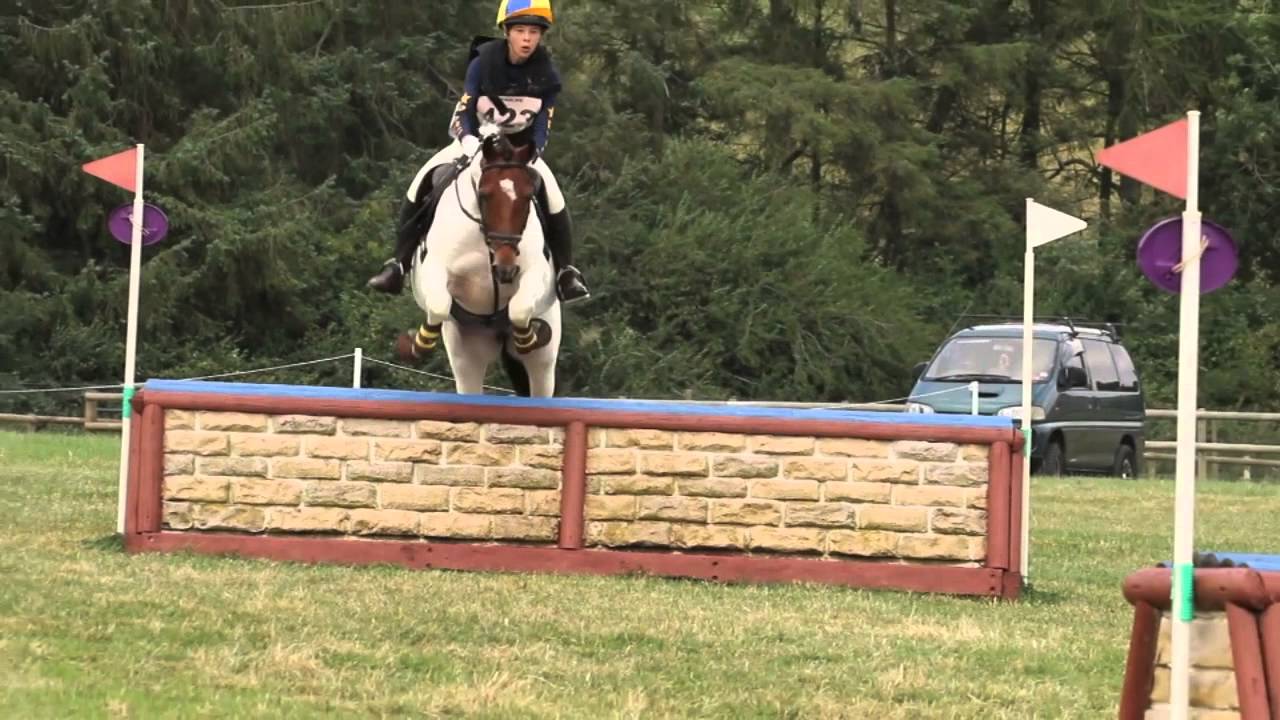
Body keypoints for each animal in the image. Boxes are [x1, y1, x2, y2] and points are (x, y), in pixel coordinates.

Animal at [394, 129, 561, 398]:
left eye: (528, 197)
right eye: (484, 194)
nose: (505, 269)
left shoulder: (536, 273)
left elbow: (520, 307)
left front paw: (529, 336)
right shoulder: (435, 269)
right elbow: (439, 305)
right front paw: (415, 344)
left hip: (544, 361)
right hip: (467, 355)